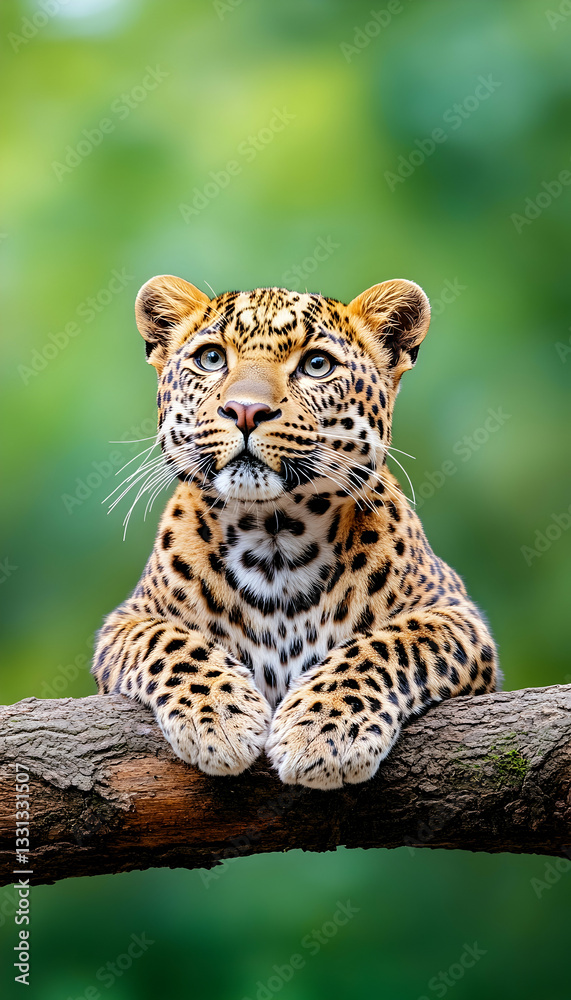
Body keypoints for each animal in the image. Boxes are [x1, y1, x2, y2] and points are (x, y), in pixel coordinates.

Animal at [92, 274, 499, 791]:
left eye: (316, 365)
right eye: (211, 358)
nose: (244, 410)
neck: (275, 539)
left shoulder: (456, 616)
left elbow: (390, 644)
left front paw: (324, 731)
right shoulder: (125, 623)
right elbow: (169, 642)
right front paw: (221, 719)